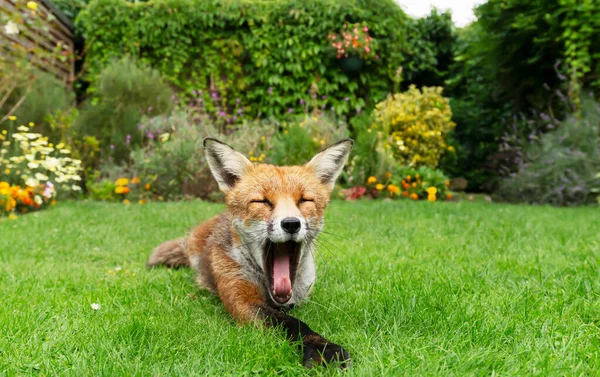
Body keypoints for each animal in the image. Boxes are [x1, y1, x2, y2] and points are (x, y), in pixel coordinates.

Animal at [149, 137, 352, 366]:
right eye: (262, 201)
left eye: (304, 200)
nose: (291, 223)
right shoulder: (242, 298)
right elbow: (290, 323)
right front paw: (321, 348)